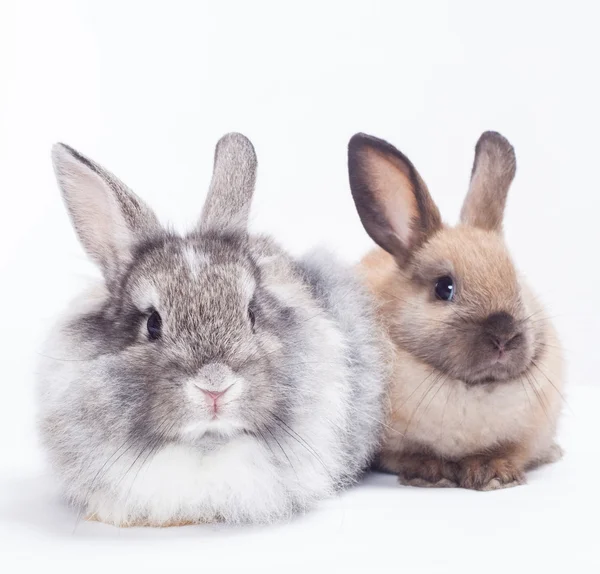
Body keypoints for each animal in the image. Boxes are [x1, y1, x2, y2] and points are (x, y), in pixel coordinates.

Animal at [344, 132, 564, 496]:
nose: (503, 336)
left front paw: (492, 474)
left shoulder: (524, 438)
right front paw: (432, 474)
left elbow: (508, 452)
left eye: (516, 283)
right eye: (443, 287)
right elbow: (409, 456)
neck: (471, 390)